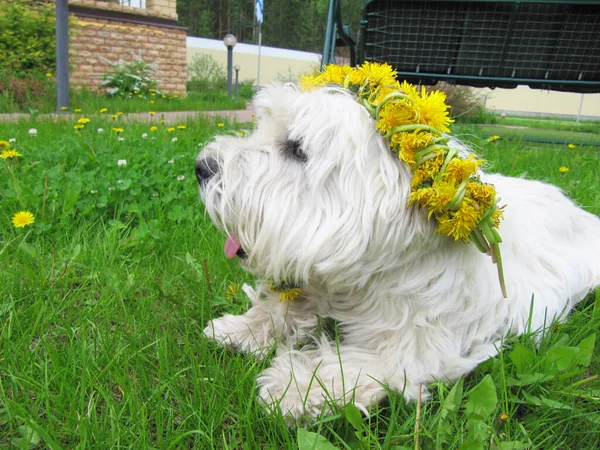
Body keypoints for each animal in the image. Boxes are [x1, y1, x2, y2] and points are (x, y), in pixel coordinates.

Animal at [196, 82, 600, 420]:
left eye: (297, 149)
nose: (202, 166)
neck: (367, 281)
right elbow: (284, 307)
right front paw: (241, 328)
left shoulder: (418, 351)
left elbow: (355, 362)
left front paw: (294, 387)